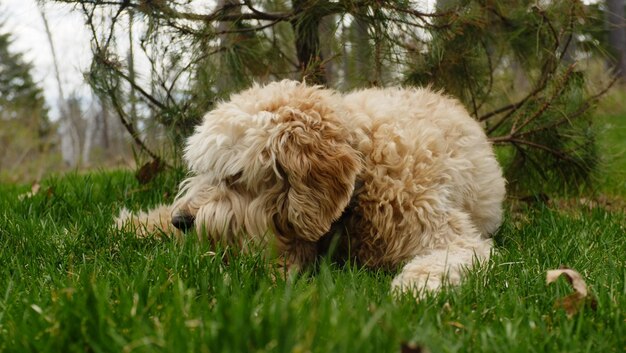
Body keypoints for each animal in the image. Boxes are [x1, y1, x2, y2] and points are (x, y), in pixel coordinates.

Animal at [118, 80, 508, 294]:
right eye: (202, 169)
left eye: (234, 176)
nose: (181, 221)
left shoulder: (450, 235)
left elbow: (451, 256)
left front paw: (415, 287)